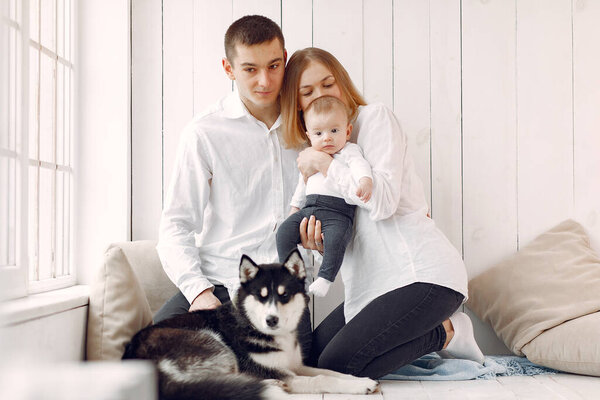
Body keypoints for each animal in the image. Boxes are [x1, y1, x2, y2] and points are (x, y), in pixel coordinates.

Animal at [122, 250, 380, 400]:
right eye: (261, 296)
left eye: (284, 295)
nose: (271, 320)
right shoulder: (278, 371)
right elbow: (321, 379)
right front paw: (358, 387)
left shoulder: (294, 365)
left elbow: (329, 371)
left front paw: (362, 381)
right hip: (214, 344)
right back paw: (268, 386)